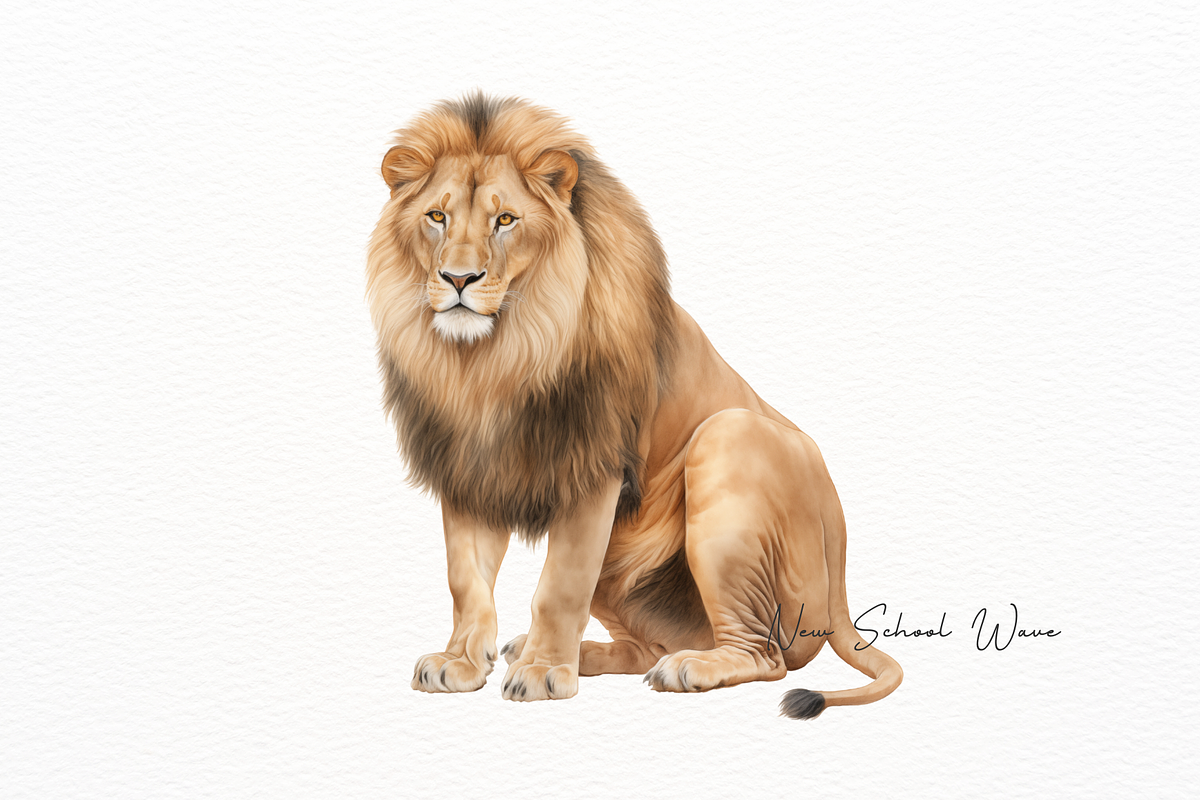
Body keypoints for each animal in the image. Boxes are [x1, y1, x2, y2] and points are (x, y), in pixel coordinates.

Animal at [367, 93, 902, 718]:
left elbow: (560, 585)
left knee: (765, 656)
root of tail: (839, 547)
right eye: (437, 217)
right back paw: (566, 653)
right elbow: (465, 580)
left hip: (728, 440)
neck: (494, 360)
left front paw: (544, 674)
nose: (458, 279)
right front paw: (461, 663)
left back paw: (684, 667)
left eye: (505, 220)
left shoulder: (595, 465)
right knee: (648, 646)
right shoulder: (467, 466)